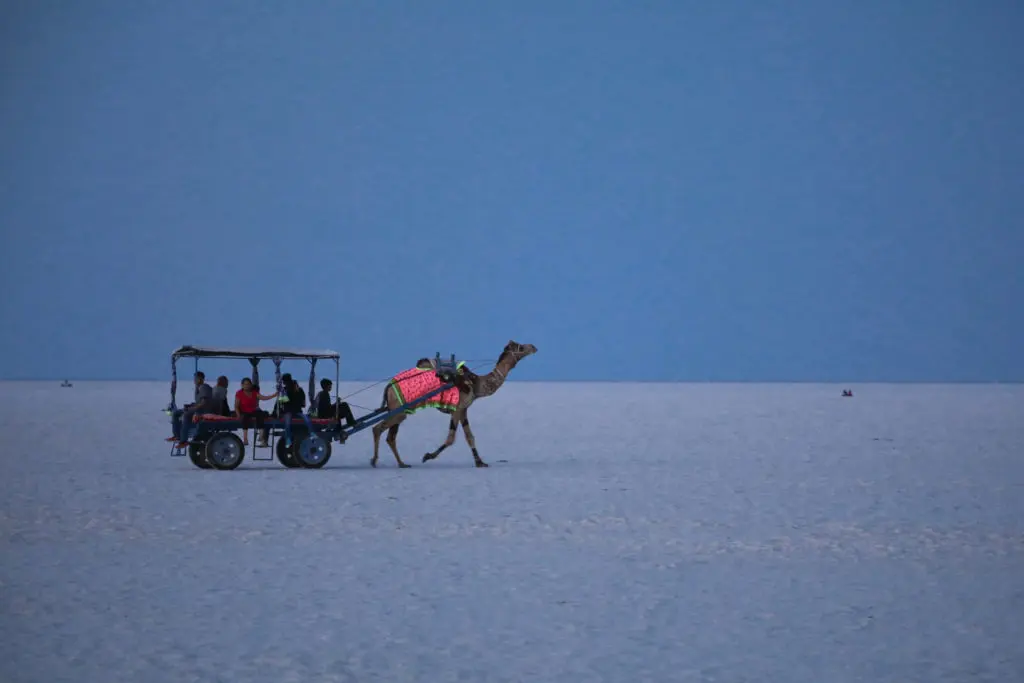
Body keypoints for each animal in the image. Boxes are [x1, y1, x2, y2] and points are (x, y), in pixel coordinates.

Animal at [372, 339, 540, 466]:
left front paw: (480, 462)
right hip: (400, 408)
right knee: (378, 428)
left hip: (397, 408)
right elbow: (451, 438)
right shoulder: (457, 408)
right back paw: (375, 461)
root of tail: (389, 386)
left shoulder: (464, 409)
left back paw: (401, 463)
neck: (476, 384)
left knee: (390, 436)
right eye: (520, 347)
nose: (534, 346)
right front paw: (428, 456)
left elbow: (469, 436)